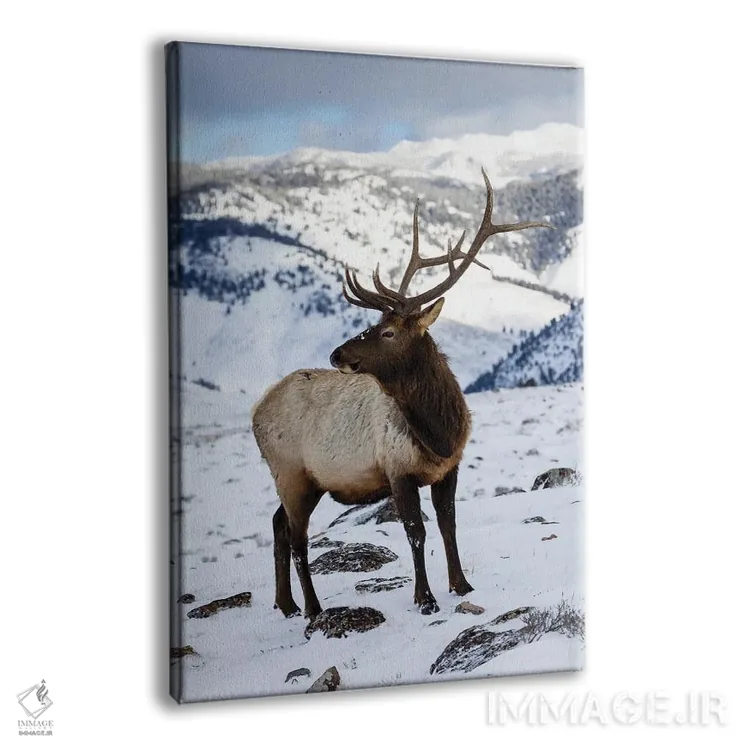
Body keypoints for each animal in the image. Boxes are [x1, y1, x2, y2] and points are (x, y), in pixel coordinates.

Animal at [252, 169, 552, 620]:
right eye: (374, 325)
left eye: (388, 331)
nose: (336, 353)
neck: (439, 432)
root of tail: (254, 412)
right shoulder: (397, 471)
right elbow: (415, 532)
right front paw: (425, 598)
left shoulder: (449, 468)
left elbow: (448, 524)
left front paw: (461, 584)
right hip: (290, 473)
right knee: (298, 537)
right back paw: (313, 608)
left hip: (303, 481)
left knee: (278, 526)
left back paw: (285, 603)